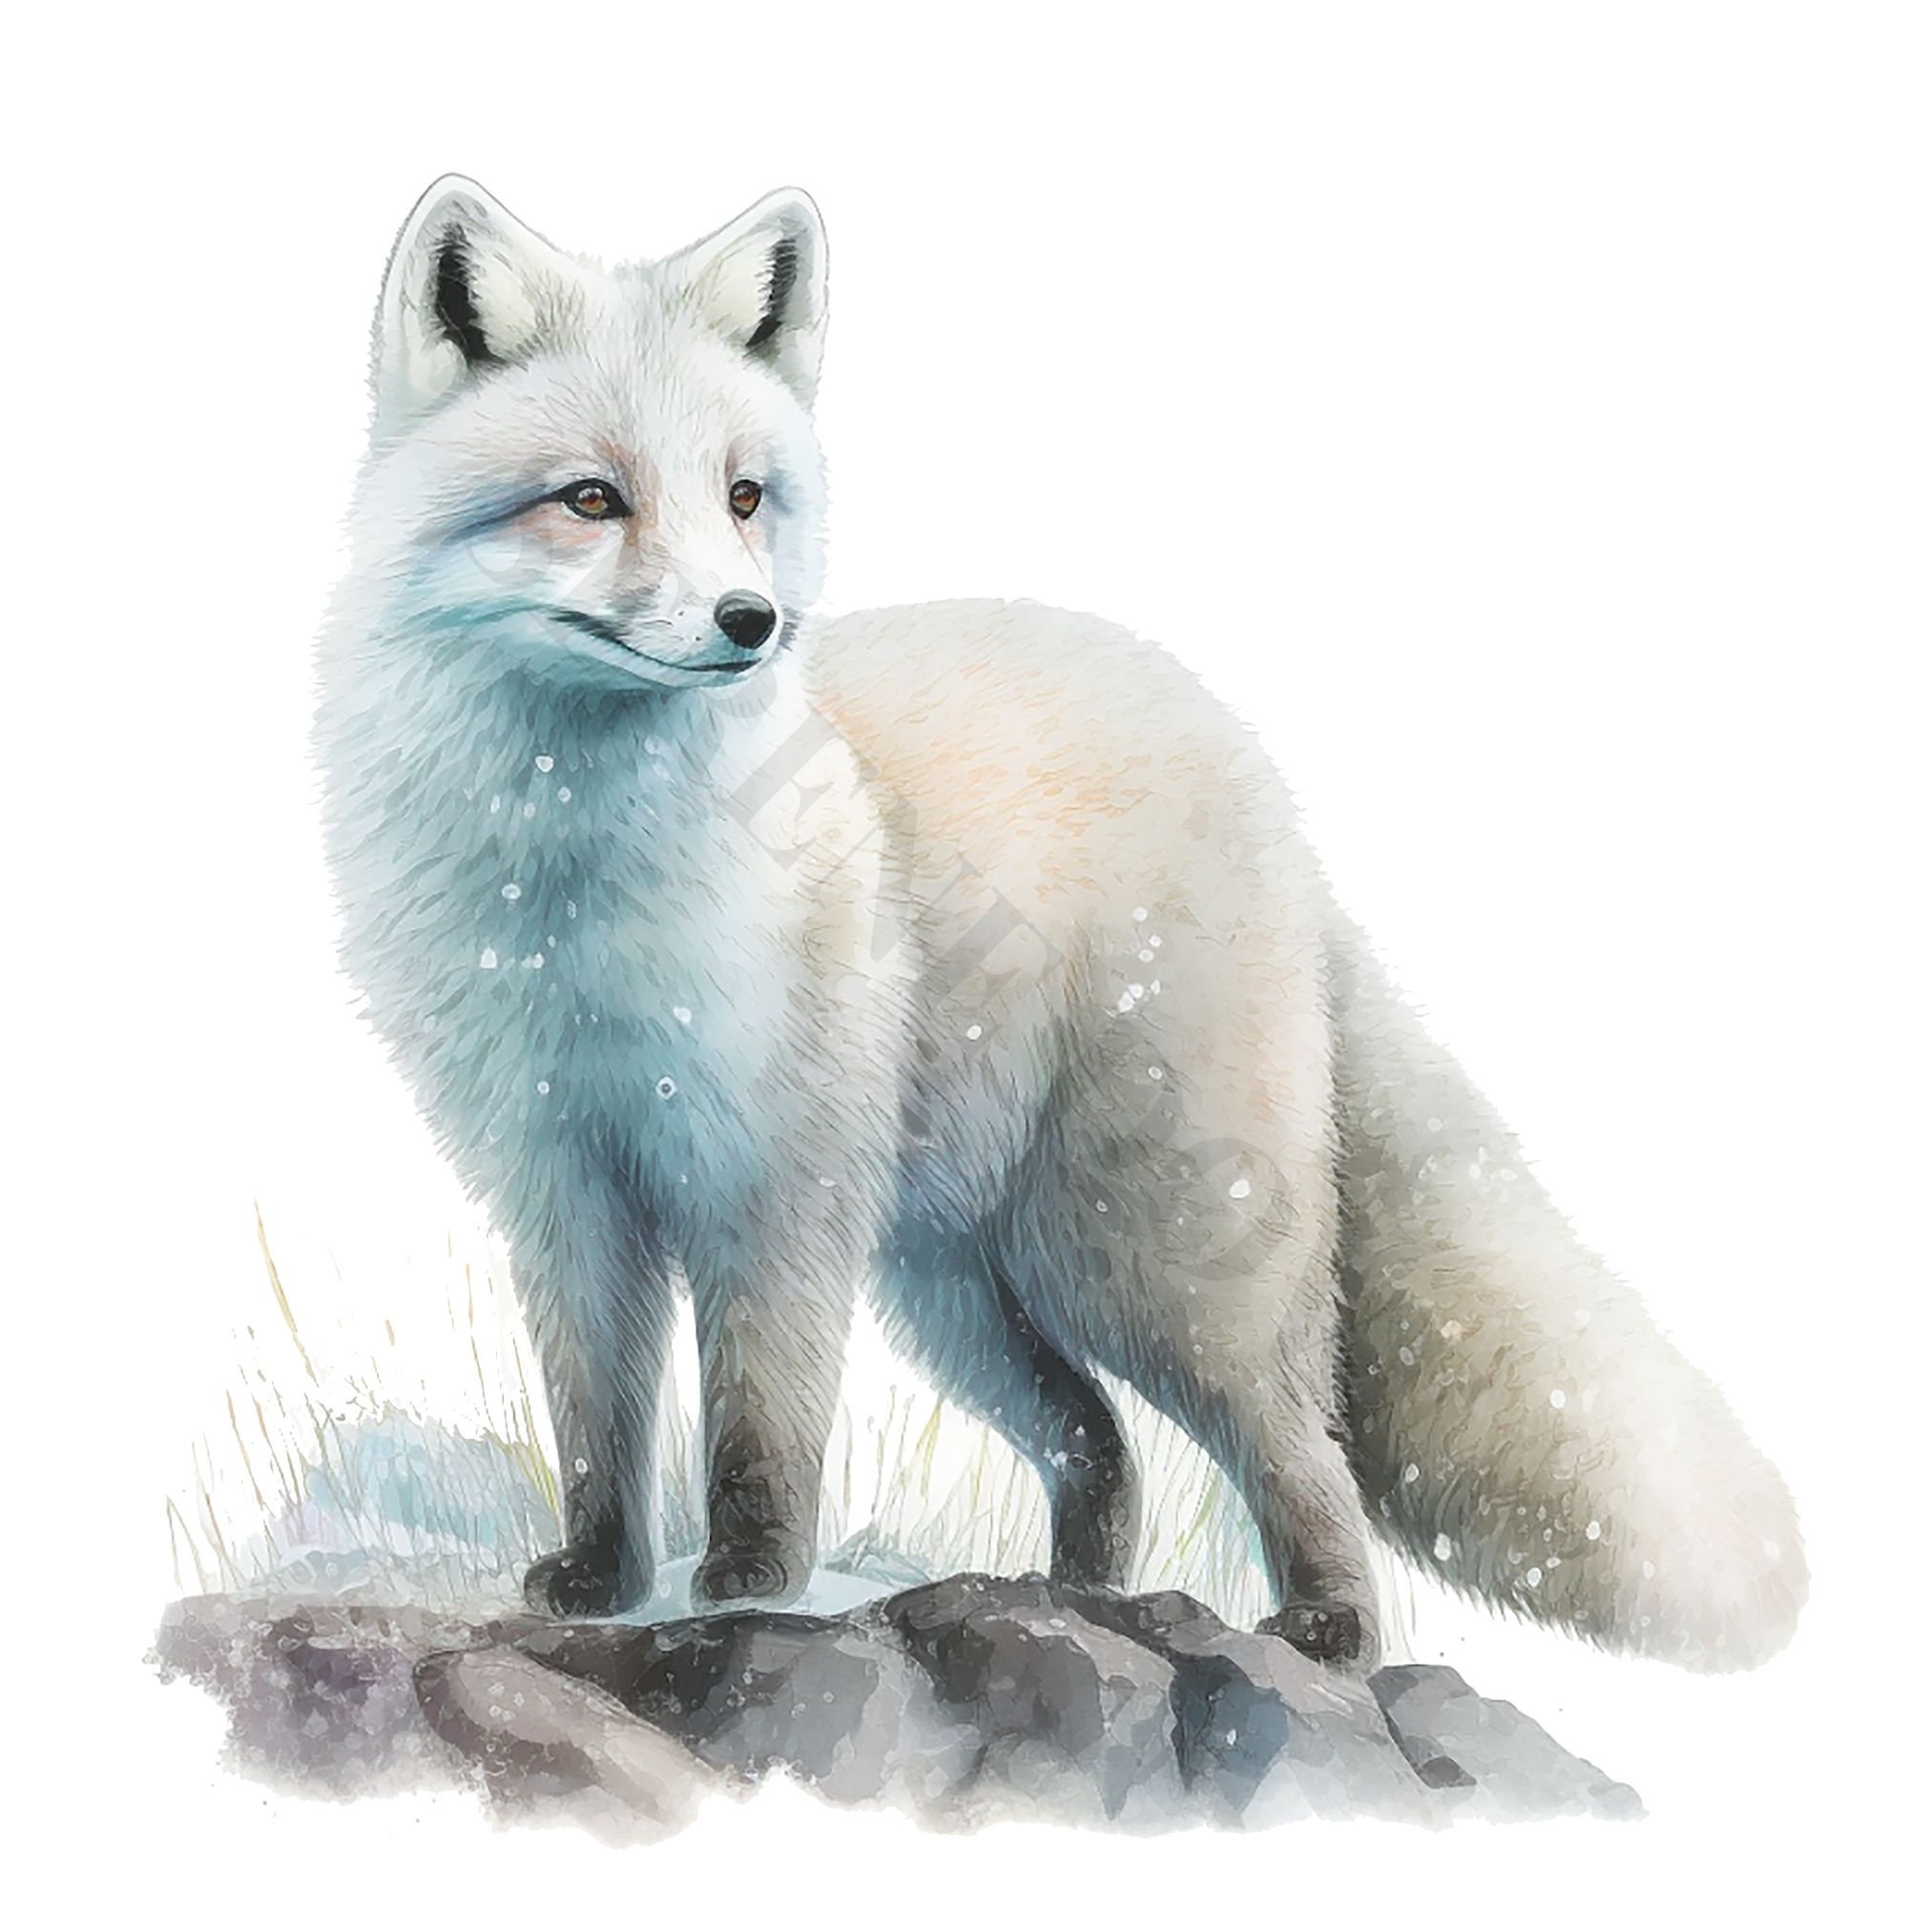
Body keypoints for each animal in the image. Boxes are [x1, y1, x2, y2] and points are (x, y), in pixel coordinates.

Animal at [315, 176, 1806, 1673]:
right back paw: (1072, 1603)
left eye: (744, 497)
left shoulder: (775, 1186)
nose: (752, 620)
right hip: (960, 1284)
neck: (569, 902)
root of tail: (1258, 777)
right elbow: (597, 1426)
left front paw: (746, 1582)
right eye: (591, 499)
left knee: (1294, 1437)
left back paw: (1323, 1627)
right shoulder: (559, 1187)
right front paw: (601, 1582)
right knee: (1102, 1443)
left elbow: (759, 1425)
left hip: (1142, 1260)